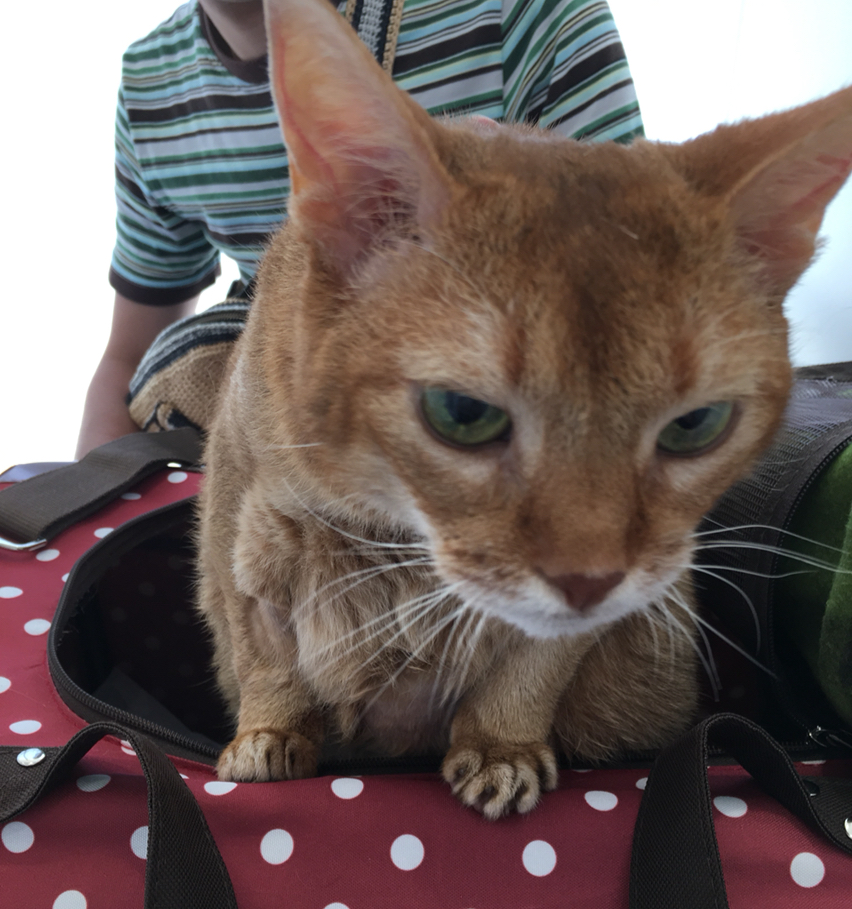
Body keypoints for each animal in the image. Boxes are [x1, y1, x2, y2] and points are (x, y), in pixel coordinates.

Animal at [196, 0, 852, 818]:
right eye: (461, 413)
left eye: (695, 426)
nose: (590, 578)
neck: (397, 535)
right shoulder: (240, 522)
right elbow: (262, 647)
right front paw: (269, 732)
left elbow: (534, 665)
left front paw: (501, 746)